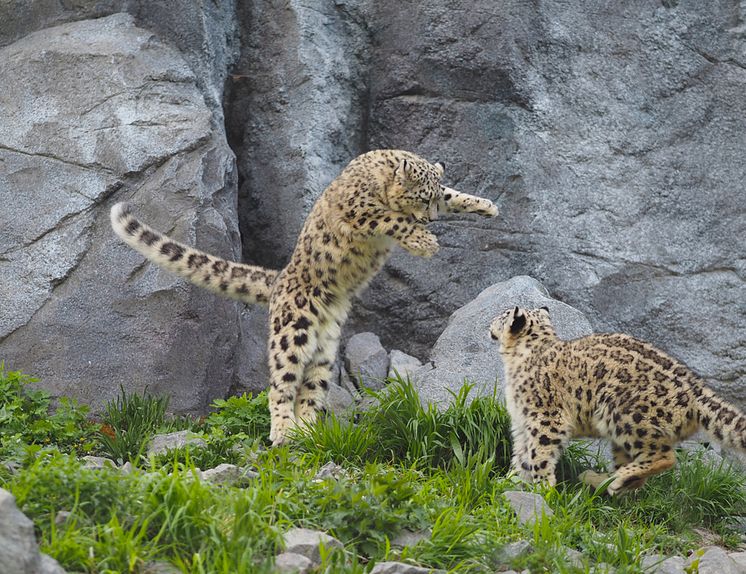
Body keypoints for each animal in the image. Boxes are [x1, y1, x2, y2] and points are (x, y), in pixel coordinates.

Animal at [110, 150, 494, 446]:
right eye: (422, 198)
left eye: (435, 198)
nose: (430, 220)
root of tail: (280, 279)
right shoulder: (360, 208)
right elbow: (391, 218)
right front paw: (424, 242)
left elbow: (454, 196)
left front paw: (486, 206)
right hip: (291, 332)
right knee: (280, 386)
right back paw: (282, 432)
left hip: (324, 348)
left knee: (310, 390)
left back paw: (307, 431)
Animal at [488, 308, 744, 498]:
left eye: (503, 314)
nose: (489, 323)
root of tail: (696, 388)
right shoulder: (522, 423)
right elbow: (522, 457)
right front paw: (506, 482)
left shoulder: (546, 418)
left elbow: (539, 454)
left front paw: (543, 488)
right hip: (621, 431)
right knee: (630, 468)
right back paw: (605, 481)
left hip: (625, 414)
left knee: (664, 456)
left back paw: (610, 480)